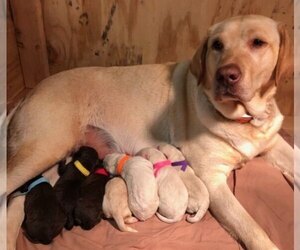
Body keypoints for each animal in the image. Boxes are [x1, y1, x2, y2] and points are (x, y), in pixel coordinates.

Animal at [6, 14, 292, 249]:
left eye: (258, 43)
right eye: (217, 45)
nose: (226, 75)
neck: (243, 119)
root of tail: (28, 94)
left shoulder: (276, 144)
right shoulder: (213, 181)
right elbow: (252, 228)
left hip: (51, 163)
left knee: (16, 203)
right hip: (43, 149)